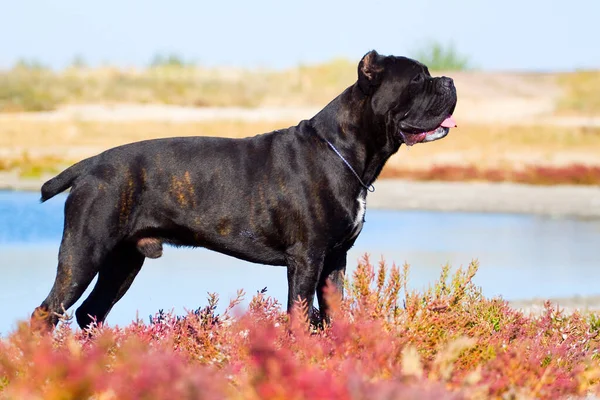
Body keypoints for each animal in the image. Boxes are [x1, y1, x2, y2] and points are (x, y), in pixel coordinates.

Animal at [31, 50, 454, 332]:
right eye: (417, 79)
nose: (449, 81)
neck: (344, 150)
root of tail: (89, 164)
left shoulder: (335, 260)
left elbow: (332, 314)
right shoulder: (307, 258)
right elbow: (300, 315)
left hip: (123, 261)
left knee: (90, 312)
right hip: (84, 253)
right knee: (48, 311)